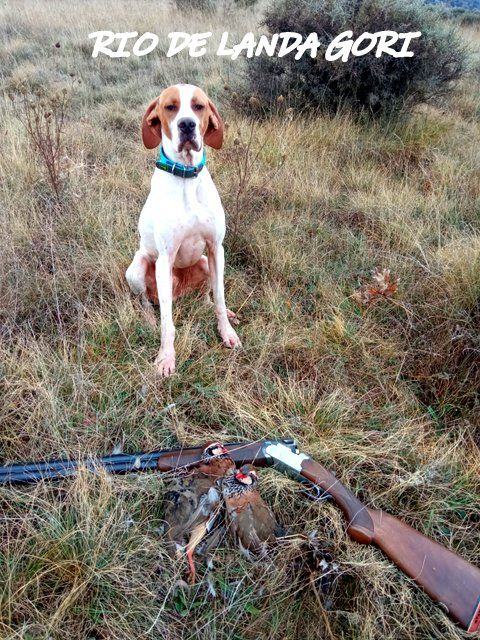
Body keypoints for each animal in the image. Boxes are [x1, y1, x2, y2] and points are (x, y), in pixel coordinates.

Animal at [126, 83, 242, 378]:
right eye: (170, 107)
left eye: (199, 106)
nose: (187, 124)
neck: (186, 176)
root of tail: (181, 291)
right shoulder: (165, 259)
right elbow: (167, 323)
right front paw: (166, 357)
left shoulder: (215, 249)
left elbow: (220, 299)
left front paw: (227, 332)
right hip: (138, 268)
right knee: (146, 302)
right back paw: (148, 319)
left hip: (202, 262)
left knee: (206, 296)